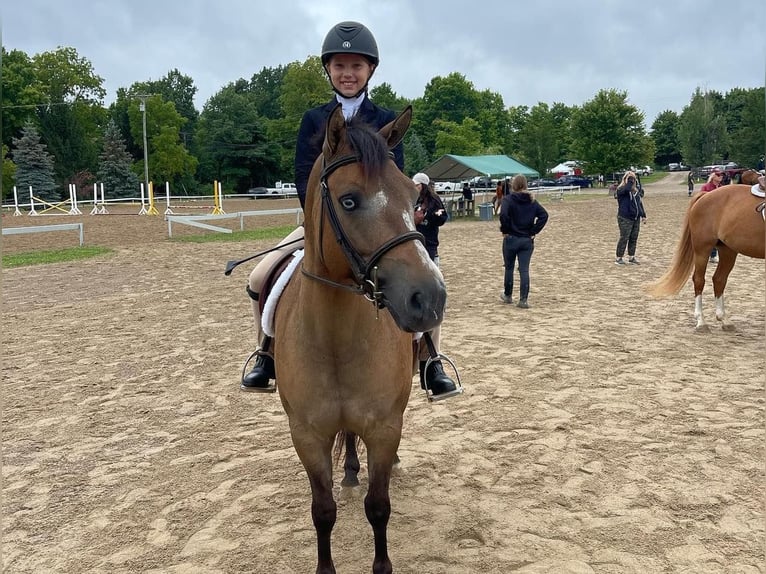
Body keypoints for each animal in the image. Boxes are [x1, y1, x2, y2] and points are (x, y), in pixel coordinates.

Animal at [274, 106, 444, 572]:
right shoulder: (307, 435)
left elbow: (379, 506)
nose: (429, 298)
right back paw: (350, 469)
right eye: (349, 200)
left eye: (414, 199)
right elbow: (323, 510)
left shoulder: (384, 428)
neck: (336, 340)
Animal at [648, 182, 766, 330]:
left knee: (719, 279)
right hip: (702, 250)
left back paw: (723, 319)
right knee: (699, 280)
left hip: (728, 250)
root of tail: (706, 195)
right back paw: (701, 321)